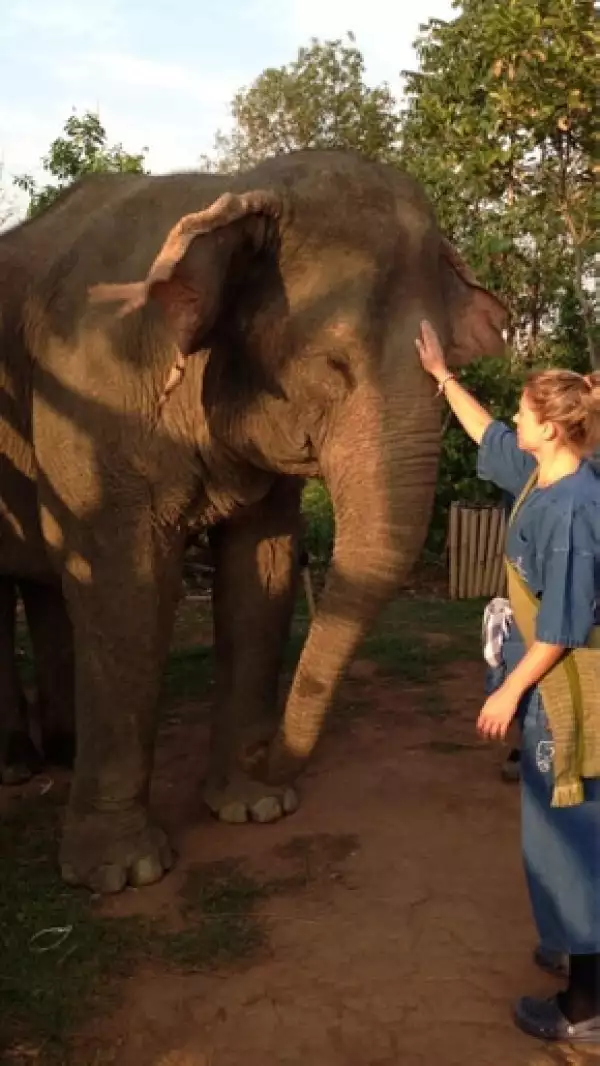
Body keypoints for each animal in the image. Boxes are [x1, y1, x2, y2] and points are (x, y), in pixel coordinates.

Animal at [0, 148, 506, 893]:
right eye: (332, 363)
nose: (274, 757)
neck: (235, 190)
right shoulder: (96, 403)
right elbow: (126, 591)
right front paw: (124, 873)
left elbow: (259, 574)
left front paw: (253, 807)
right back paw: (18, 769)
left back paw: (59, 757)